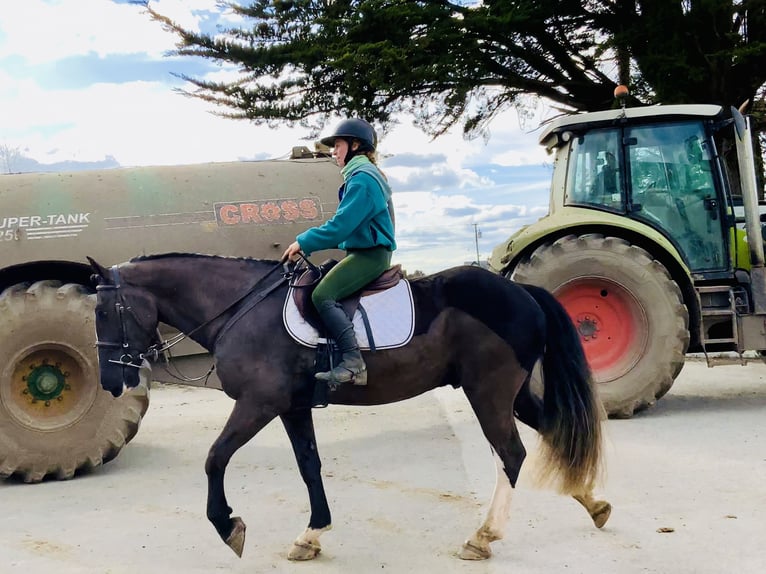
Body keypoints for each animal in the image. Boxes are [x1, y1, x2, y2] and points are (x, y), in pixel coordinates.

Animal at [88, 255, 612, 564]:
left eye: (102, 312)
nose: (111, 381)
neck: (241, 308)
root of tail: (521, 292)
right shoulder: (292, 407)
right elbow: (309, 465)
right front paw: (312, 535)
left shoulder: (259, 404)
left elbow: (215, 458)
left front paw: (227, 525)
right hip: (511, 394)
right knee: (553, 431)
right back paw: (592, 502)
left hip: (488, 393)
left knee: (511, 454)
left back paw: (483, 536)